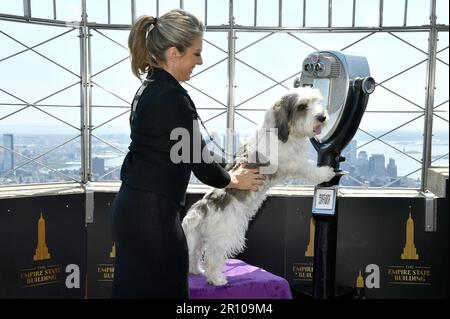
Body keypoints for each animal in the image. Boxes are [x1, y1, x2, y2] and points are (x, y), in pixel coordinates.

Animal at [182, 87, 334, 288]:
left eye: (317, 101)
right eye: (302, 106)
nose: (322, 117)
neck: (282, 131)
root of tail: (203, 206)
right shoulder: (293, 163)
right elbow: (309, 168)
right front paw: (327, 172)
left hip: (198, 237)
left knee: (194, 254)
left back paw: (195, 270)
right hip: (225, 235)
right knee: (213, 257)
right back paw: (217, 279)